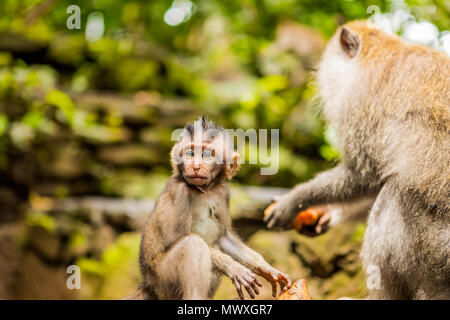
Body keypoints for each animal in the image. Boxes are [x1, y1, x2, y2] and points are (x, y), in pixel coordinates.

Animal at [139, 117, 290, 300]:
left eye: (206, 154)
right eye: (190, 153)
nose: (196, 166)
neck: (205, 190)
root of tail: (147, 285)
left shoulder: (223, 193)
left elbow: (224, 237)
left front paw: (266, 268)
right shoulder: (179, 192)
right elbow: (176, 238)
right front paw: (233, 267)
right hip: (161, 282)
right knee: (193, 245)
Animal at [266, 21, 448, 298]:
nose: (321, 78)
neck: (382, 50)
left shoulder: (357, 102)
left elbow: (364, 176)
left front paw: (294, 200)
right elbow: (375, 178)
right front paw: (327, 214)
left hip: (437, 252)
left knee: (393, 198)